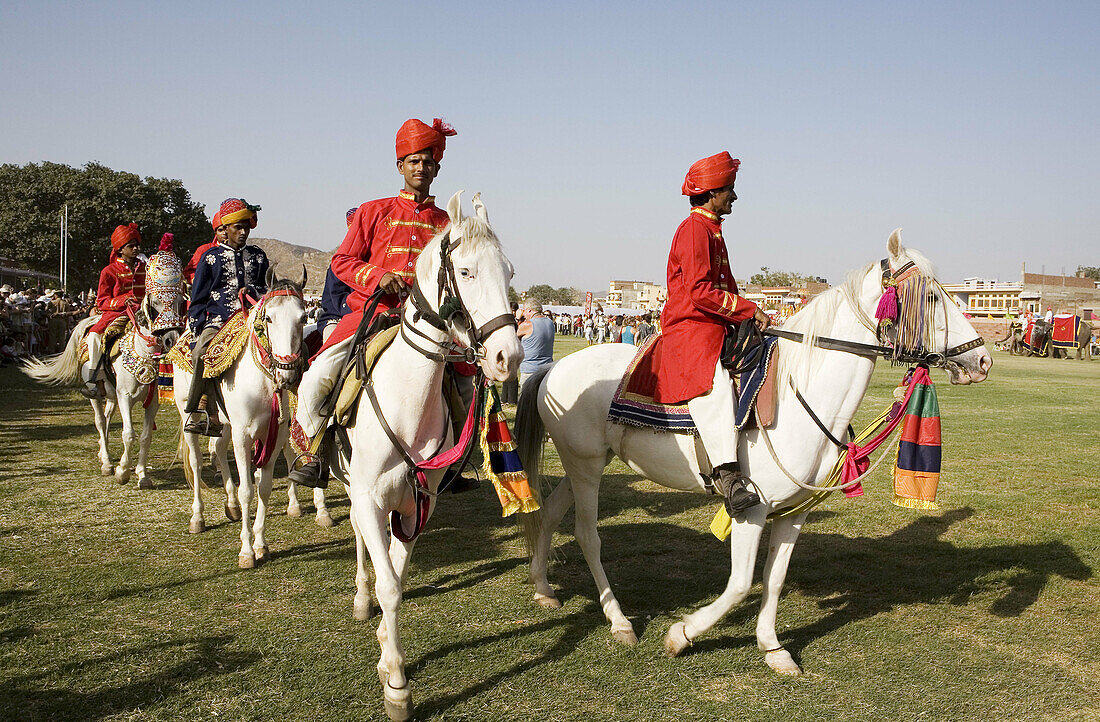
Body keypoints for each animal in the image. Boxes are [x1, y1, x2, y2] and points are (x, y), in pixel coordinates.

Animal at [23, 292, 183, 484]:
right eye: (156, 302)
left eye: (180, 301)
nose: (172, 339)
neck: (144, 354)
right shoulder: (125, 397)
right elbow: (128, 434)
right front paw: (122, 472)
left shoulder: (152, 402)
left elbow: (146, 437)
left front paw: (142, 475)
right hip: (96, 395)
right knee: (100, 421)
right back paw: (106, 463)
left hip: (112, 396)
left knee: (106, 420)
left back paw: (102, 453)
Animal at [173, 267, 308, 567]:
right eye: (268, 317)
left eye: (304, 317)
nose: (287, 373)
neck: (262, 381)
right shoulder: (243, 435)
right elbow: (248, 489)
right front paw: (246, 551)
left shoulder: (272, 435)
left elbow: (264, 488)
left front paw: (260, 544)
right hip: (189, 415)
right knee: (197, 463)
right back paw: (198, 517)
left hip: (223, 425)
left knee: (220, 451)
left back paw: (231, 505)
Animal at [323, 191, 521, 722]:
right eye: (466, 271)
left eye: (509, 272)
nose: (509, 357)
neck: (407, 401)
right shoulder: (371, 498)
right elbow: (389, 584)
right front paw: (396, 684)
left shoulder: (416, 504)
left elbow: (398, 571)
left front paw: (385, 650)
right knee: (357, 536)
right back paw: (360, 596)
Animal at [510, 230, 994, 677]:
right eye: (930, 296)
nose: (982, 360)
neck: (801, 395)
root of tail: (554, 368)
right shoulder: (751, 511)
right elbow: (742, 583)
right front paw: (681, 634)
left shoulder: (793, 512)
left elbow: (773, 579)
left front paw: (773, 648)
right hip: (586, 466)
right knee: (587, 534)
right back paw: (619, 621)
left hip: (585, 465)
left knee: (550, 515)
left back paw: (544, 589)